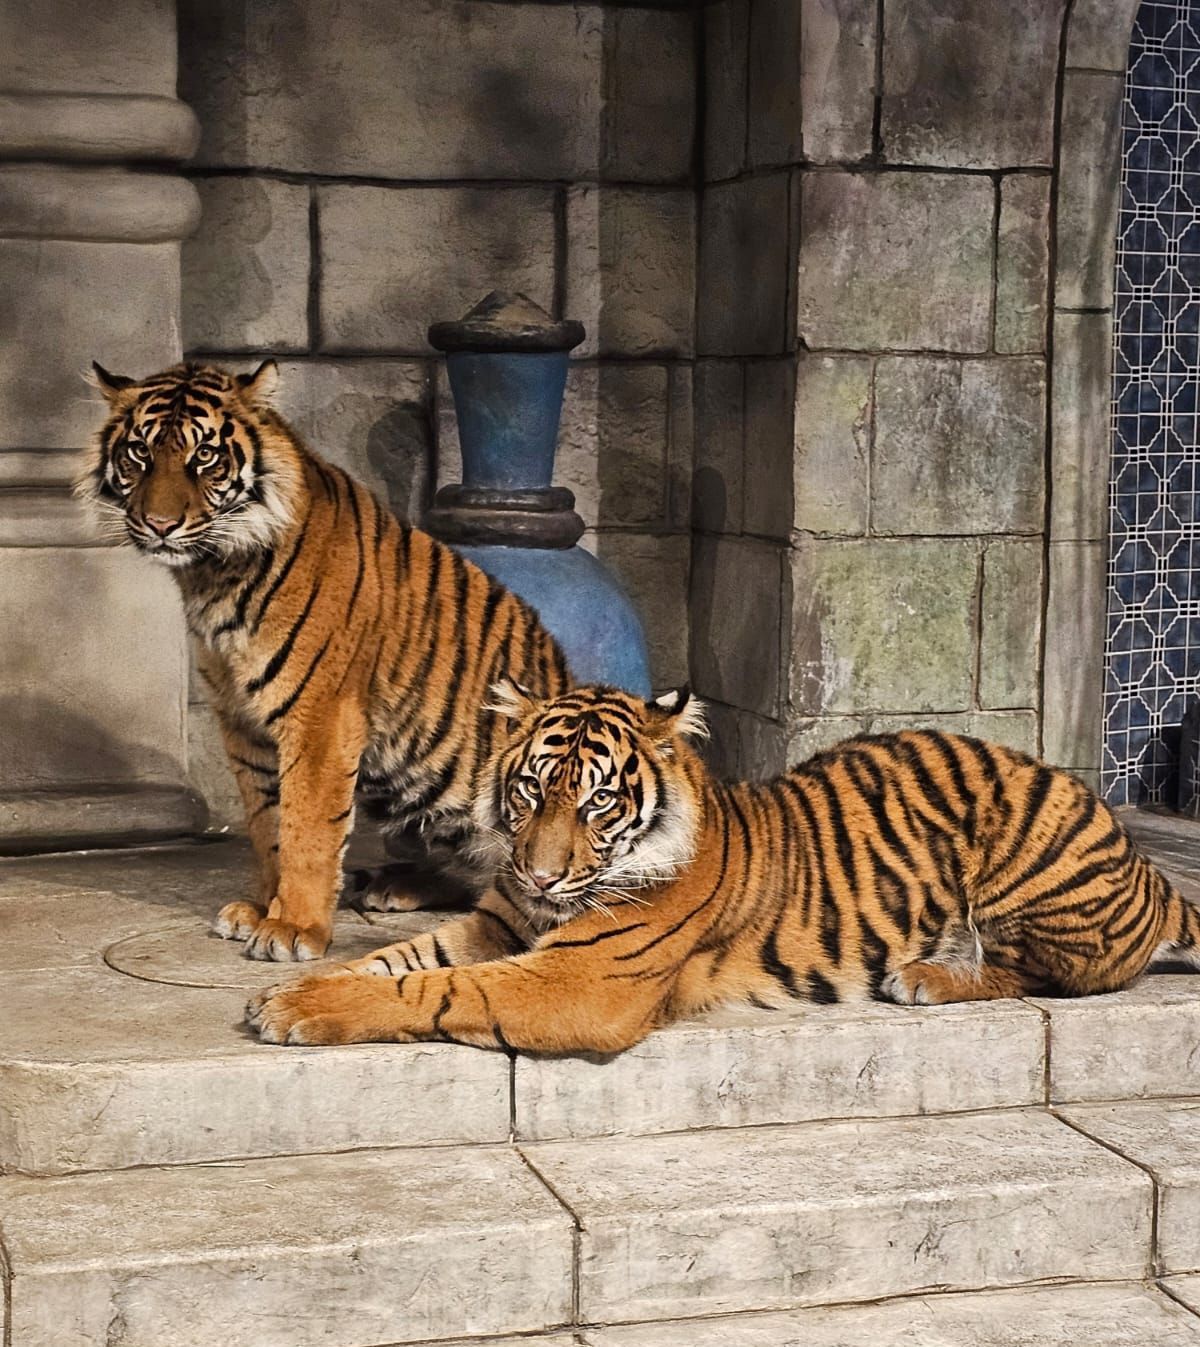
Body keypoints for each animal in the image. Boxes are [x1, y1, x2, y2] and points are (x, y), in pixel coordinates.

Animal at [80, 359, 571, 961]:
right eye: (139, 453)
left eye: (205, 456)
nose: (159, 524)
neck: (214, 574)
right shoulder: (241, 721)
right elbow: (268, 826)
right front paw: (262, 910)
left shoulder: (319, 717)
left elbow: (308, 828)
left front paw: (293, 928)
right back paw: (389, 886)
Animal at [246, 682, 1200, 1053]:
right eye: (530, 790)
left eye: (597, 801)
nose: (544, 876)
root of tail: (1152, 873)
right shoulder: (495, 923)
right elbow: (393, 960)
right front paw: (292, 984)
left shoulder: (581, 981)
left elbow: (432, 988)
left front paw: (299, 1009)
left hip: (1026, 859)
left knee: (1044, 974)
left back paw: (928, 977)